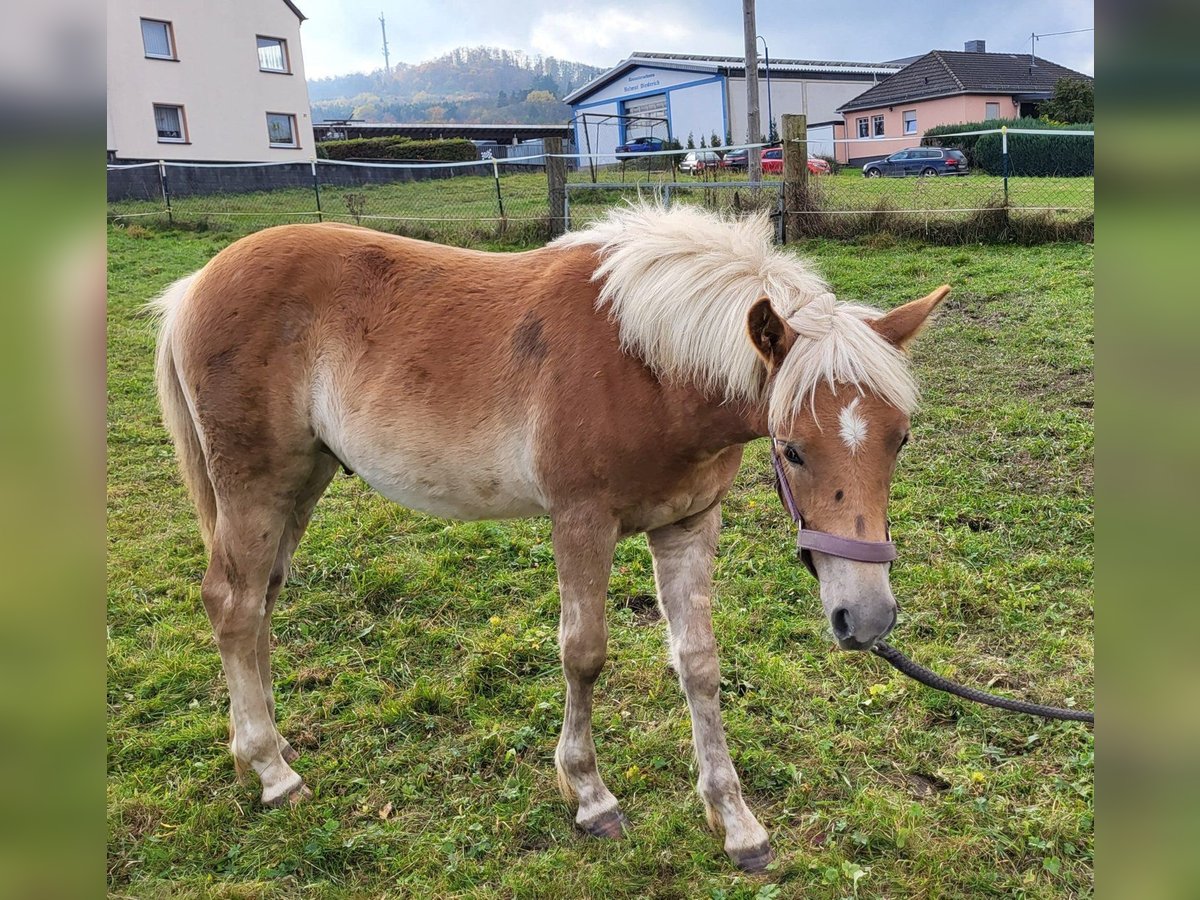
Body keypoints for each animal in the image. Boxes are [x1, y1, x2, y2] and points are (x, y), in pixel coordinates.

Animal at [152, 206, 945, 873]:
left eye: (901, 440)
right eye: (792, 449)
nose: (867, 618)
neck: (646, 363)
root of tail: (196, 285)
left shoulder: (687, 524)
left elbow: (698, 663)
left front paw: (736, 822)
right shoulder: (581, 520)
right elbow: (584, 654)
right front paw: (590, 796)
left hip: (301, 480)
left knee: (260, 601)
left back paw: (264, 746)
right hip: (255, 484)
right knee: (232, 604)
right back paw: (273, 771)